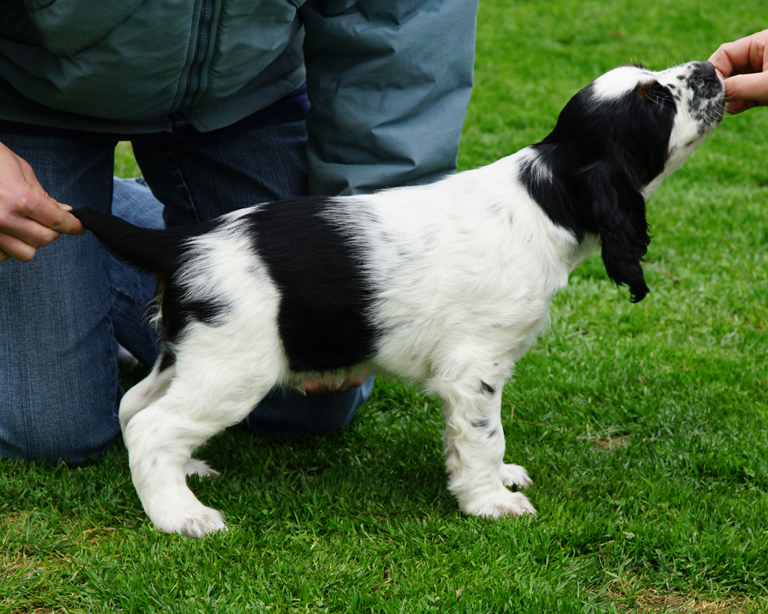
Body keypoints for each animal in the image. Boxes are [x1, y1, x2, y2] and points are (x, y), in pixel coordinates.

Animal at [73, 60, 728, 536]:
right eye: (655, 100)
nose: (709, 69)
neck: (546, 195)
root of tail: (186, 239)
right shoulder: (475, 367)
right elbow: (485, 434)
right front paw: (491, 503)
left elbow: (469, 440)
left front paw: (494, 482)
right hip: (235, 367)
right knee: (151, 427)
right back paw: (180, 516)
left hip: (190, 354)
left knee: (134, 407)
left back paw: (187, 471)